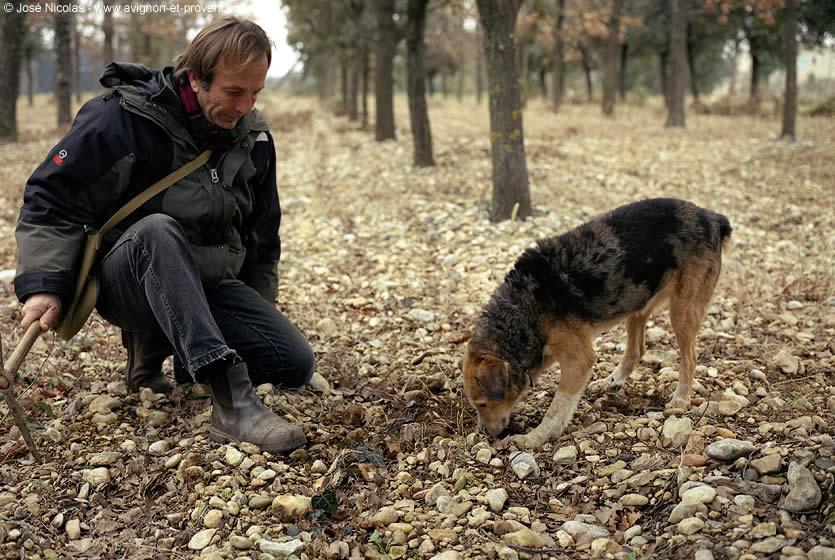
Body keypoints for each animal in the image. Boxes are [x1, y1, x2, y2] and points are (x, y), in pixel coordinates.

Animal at [464, 199, 732, 448]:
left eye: (482, 404)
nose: (485, 434)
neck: (522, 309)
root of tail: (713, 217)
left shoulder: (578, 359)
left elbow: (557, 408)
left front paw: (535, 438)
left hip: (682, 311)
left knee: (690, 358)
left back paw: (680, 399)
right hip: (637, 300)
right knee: (637, 350)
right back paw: (611, 382)